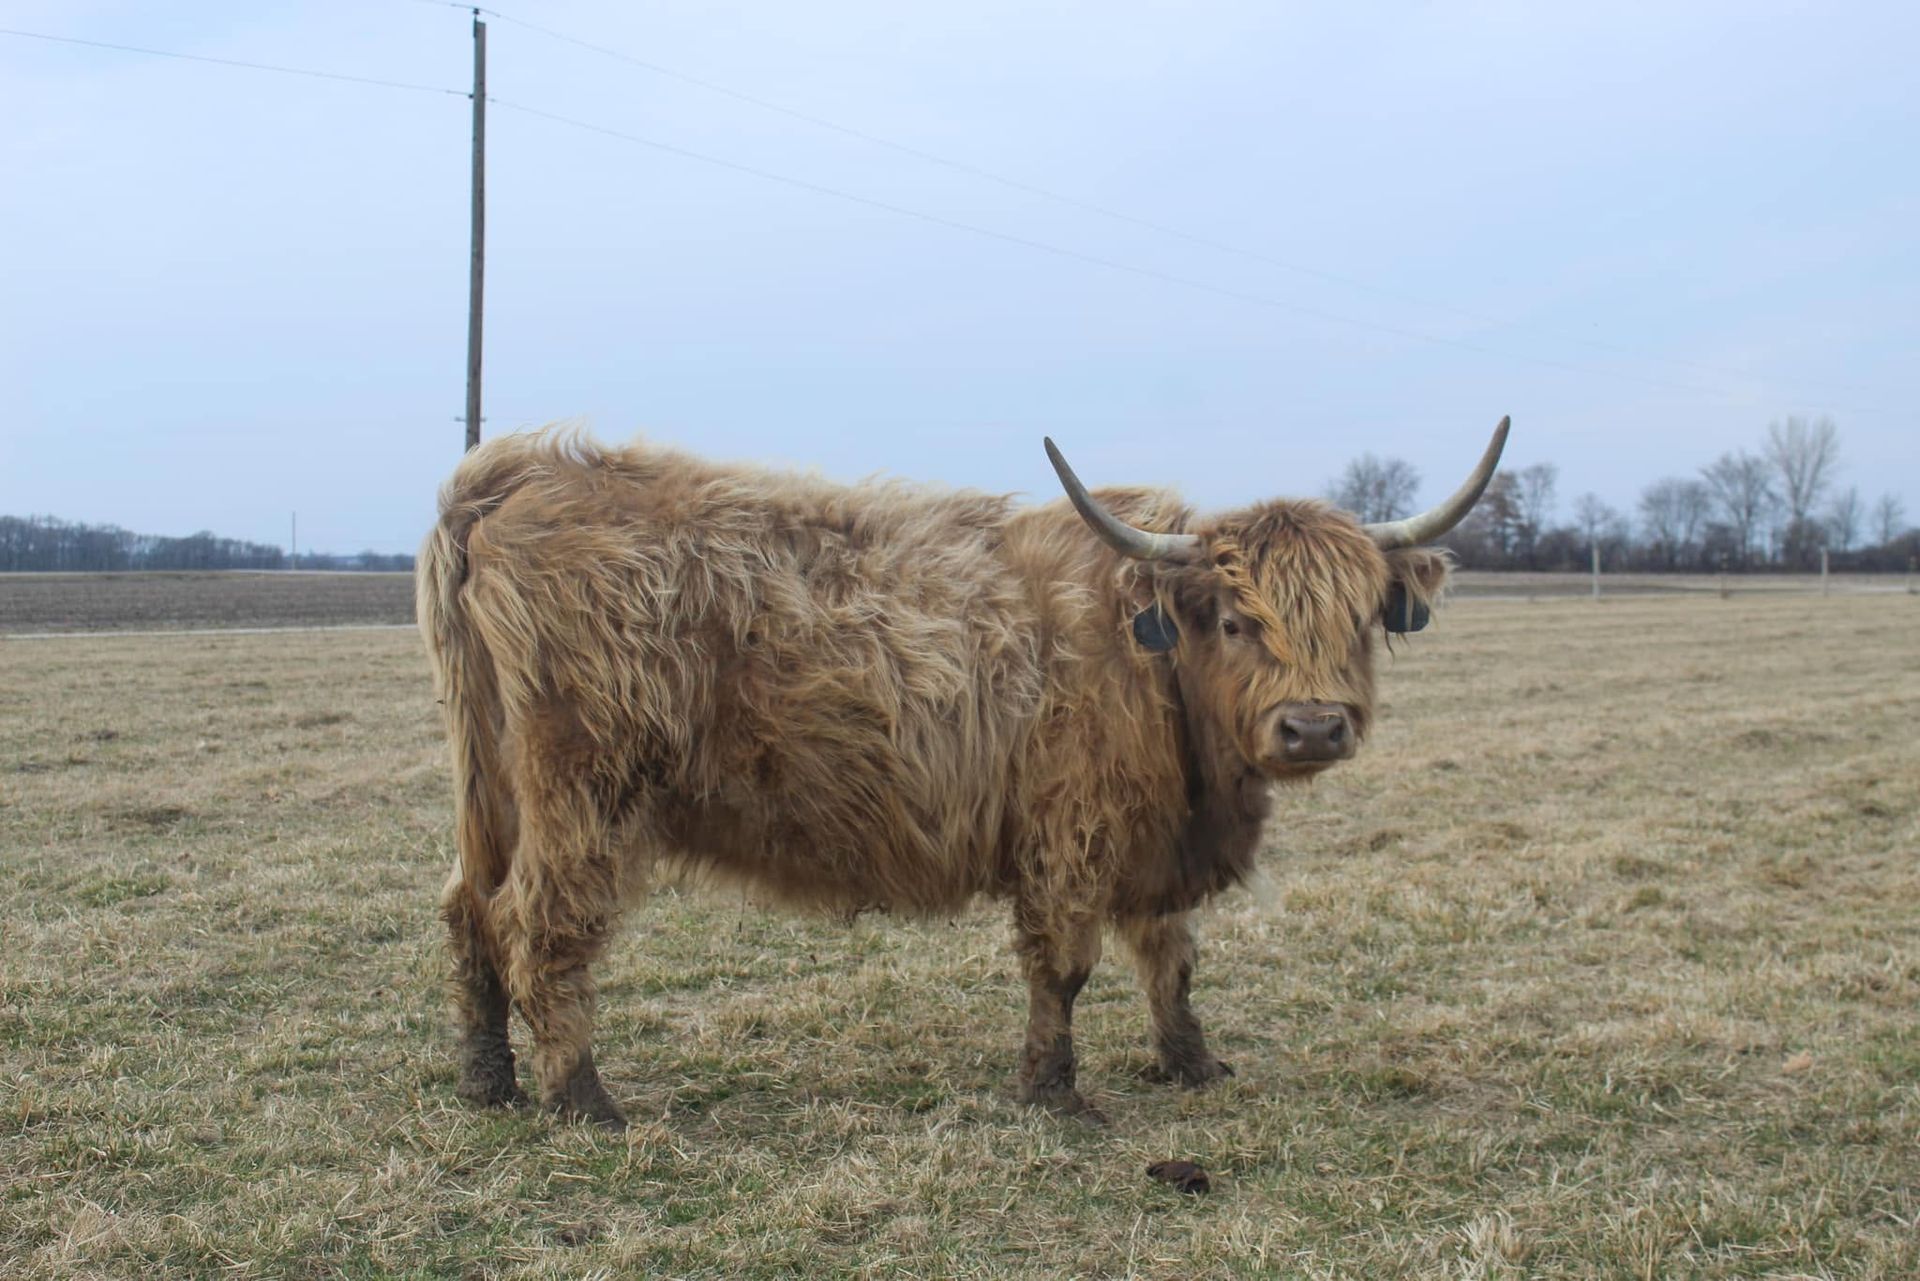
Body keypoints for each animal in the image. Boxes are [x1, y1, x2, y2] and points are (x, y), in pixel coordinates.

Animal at [417, 419, 1509, 1129]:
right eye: (1240, 622)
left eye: (1360, 619)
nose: (1314, 726)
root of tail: (516, 471)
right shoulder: (1070, 834)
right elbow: (1064, 966)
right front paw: (1054, 1094)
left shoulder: (1155, 841)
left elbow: (1172, 959)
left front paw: (1192, 1063)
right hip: (583, 789)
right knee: (539, 925)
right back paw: (581, 1099)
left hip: (490, 782)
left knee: (469, 908)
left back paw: (487, 1080)